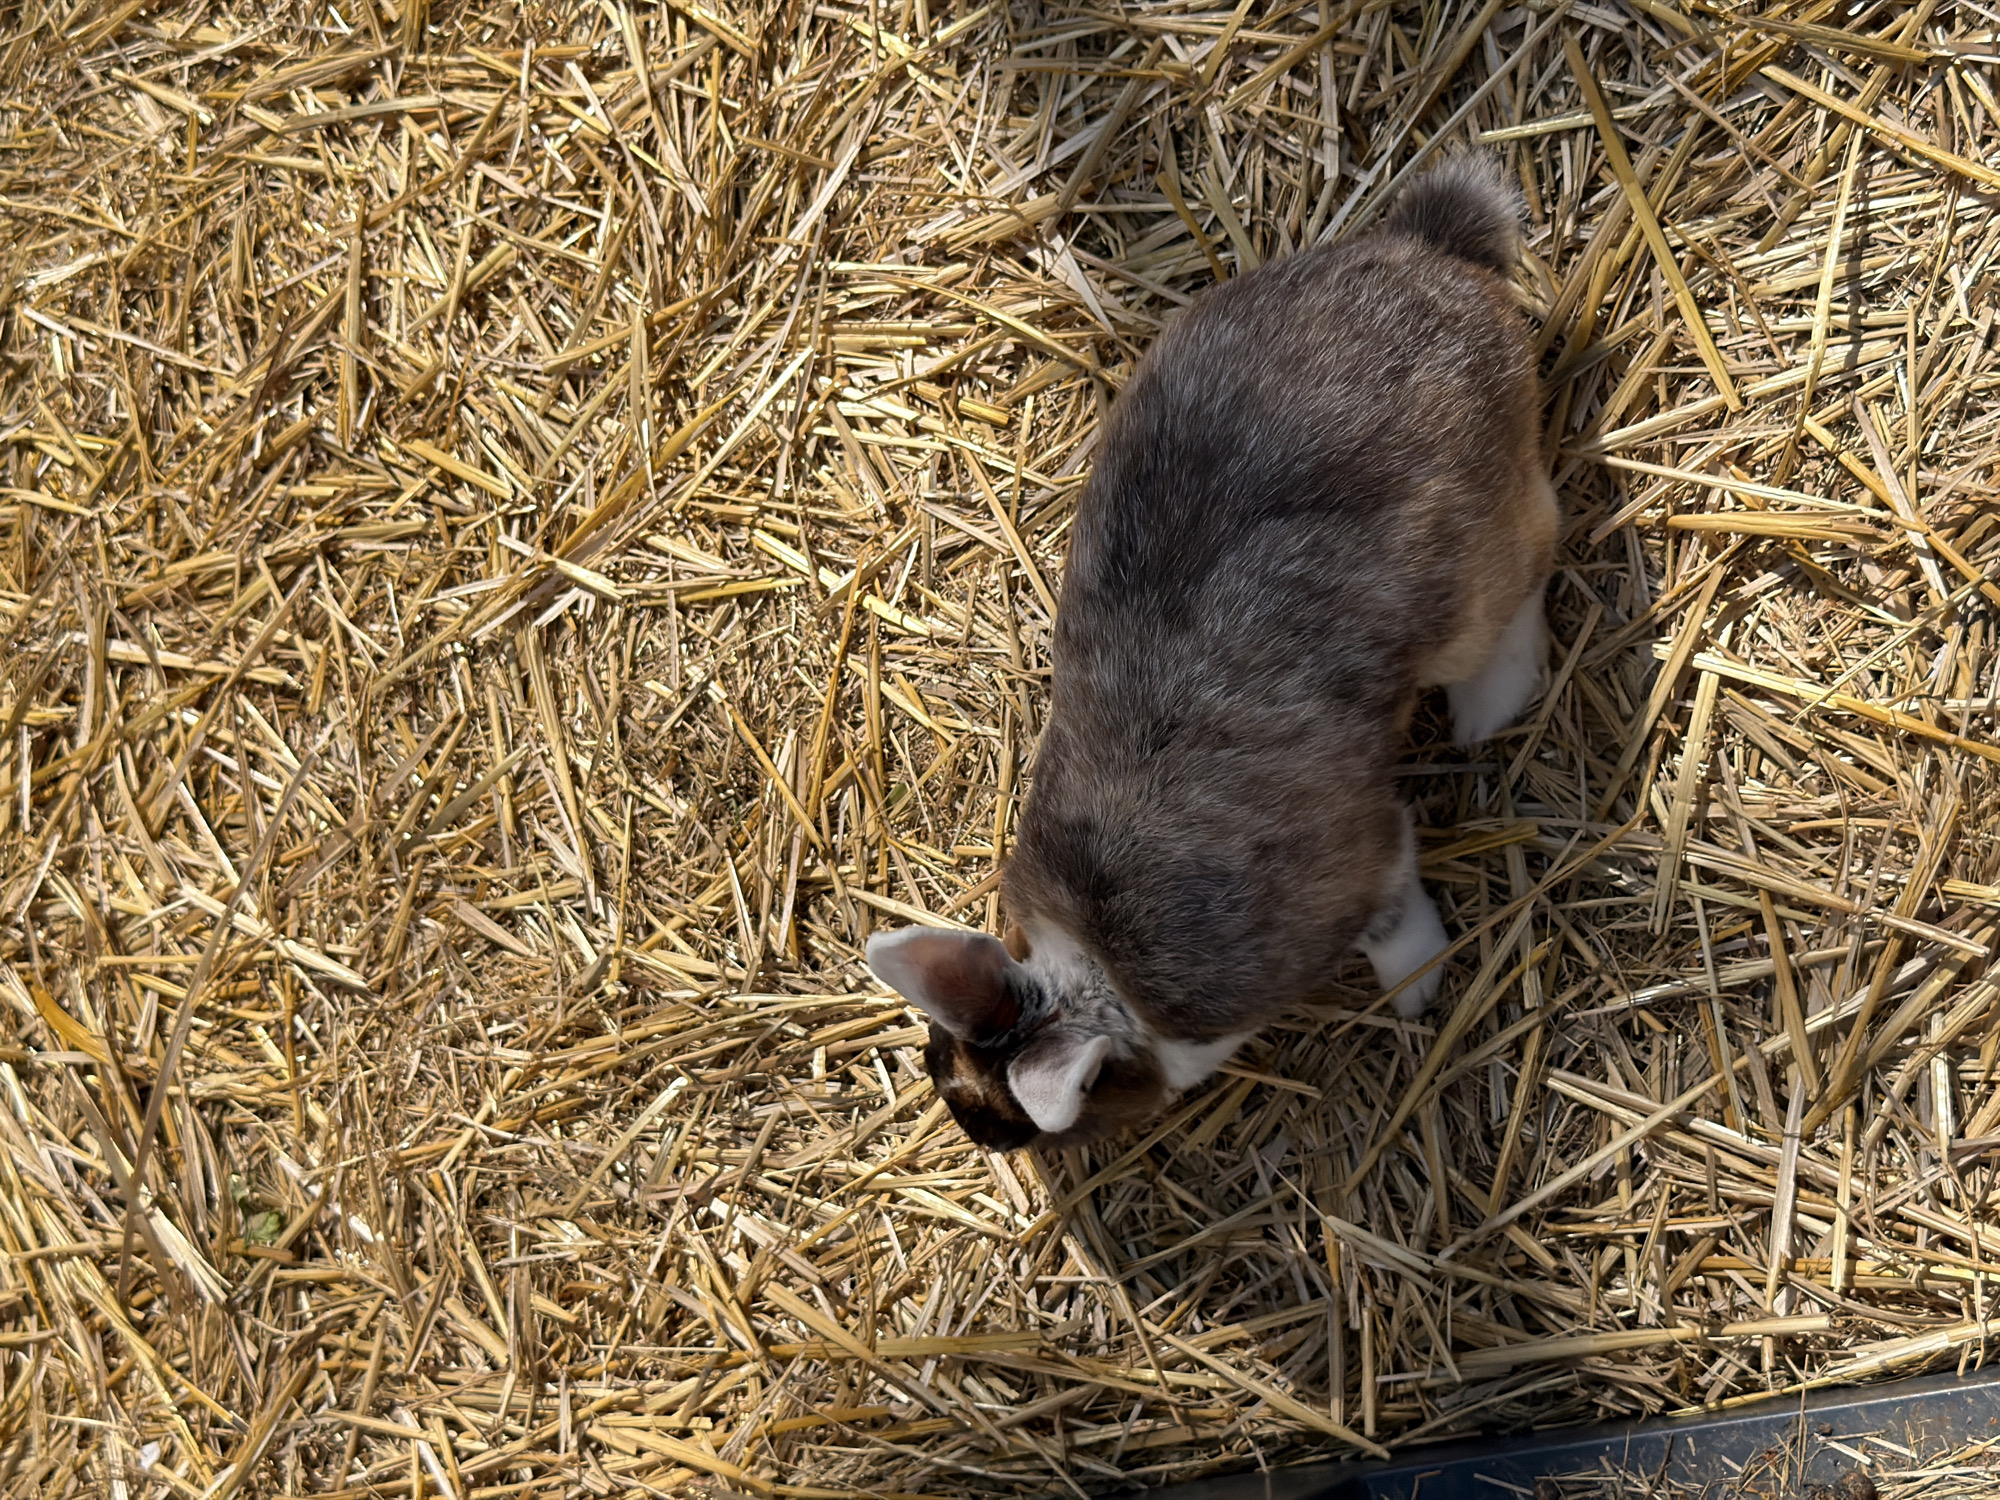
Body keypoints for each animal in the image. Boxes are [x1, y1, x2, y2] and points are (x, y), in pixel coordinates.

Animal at [867, 155, 1558, 1151]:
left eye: (1039, 1125)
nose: (978, 1132)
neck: (1103, 977)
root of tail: (1434, 250)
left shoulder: (1364, 874)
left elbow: (1396, 920)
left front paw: (1418, 991)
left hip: (1478, 574)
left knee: (1538, 550)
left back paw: (1487, 708)